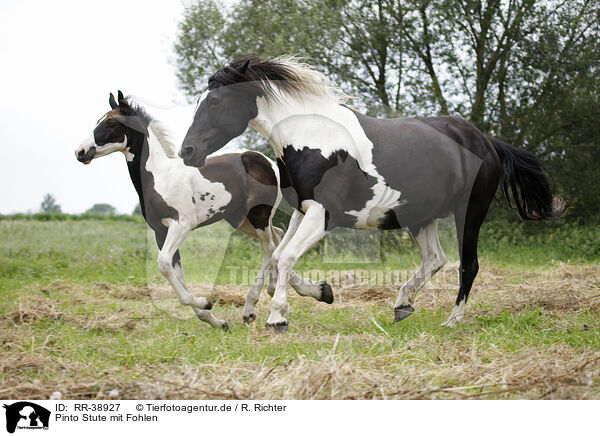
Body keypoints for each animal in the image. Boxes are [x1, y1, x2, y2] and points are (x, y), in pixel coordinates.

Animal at [178, 55, 564, 328]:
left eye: (214, 102)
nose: (187, 152)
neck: (312, 138)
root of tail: (486, 141)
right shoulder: (303, 211)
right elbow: (276, 256)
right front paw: (318, 293)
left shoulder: (323, 214)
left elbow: (285, 257)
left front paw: (278, 317)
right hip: (419, 216)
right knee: (435, 259)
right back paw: (402, 305)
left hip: (469, 213)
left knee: (468, 265)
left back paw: (452, 321)